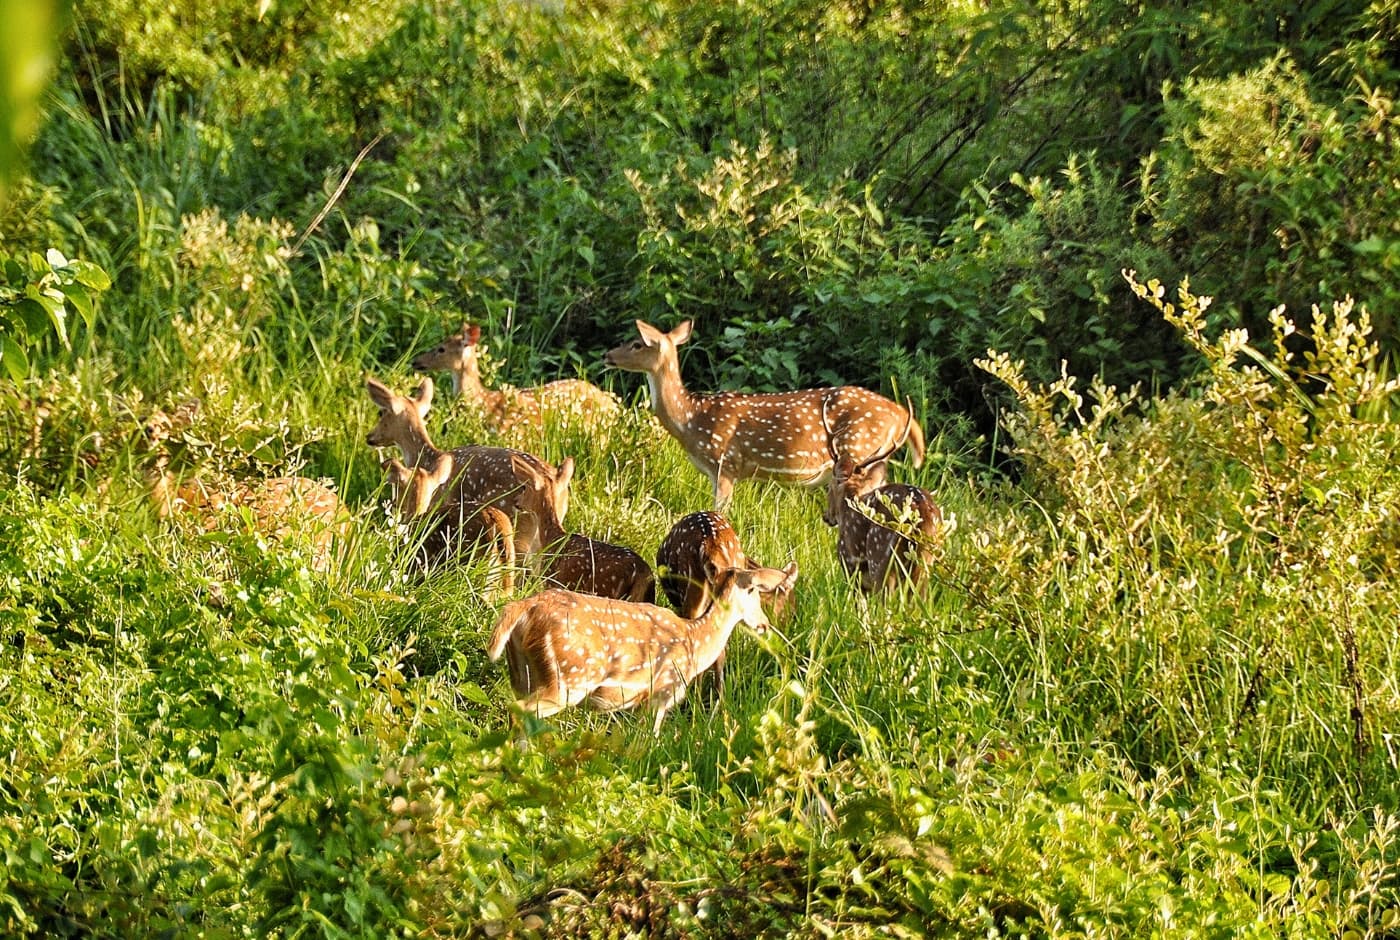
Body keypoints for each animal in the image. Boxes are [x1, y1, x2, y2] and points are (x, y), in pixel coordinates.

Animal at [487, 562, 799, 732]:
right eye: (754, 591)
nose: (763, 624)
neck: (695, 643)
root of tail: (525, 608)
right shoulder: (663, 693)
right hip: (568, 678)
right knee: (521, 711)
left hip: (522, 673)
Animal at [508, 453, 655, 603]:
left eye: (525, 487)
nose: (515, 501)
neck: (553, 537)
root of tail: (644, 573)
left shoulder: (552, 580)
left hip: (607, 589)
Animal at [603, 319, 926, 508]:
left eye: (636, 343)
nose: (607, 355)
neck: (690, 420)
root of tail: (900, 413)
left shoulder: (725, 463)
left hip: (858, 447)